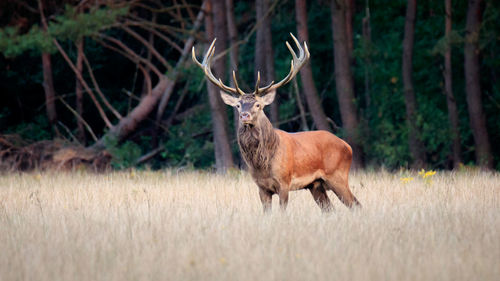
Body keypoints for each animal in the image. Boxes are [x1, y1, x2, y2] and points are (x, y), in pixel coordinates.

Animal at [191, 33, 360, 210]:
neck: (262, 163)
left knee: (355, 205)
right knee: (331, 209)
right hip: (316, 185)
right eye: (238, 105)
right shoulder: (261, 187)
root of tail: (347, 146)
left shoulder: (284, 182)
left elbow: (282, 210)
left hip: (338, 176)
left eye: (258, 105)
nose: (244, 115)